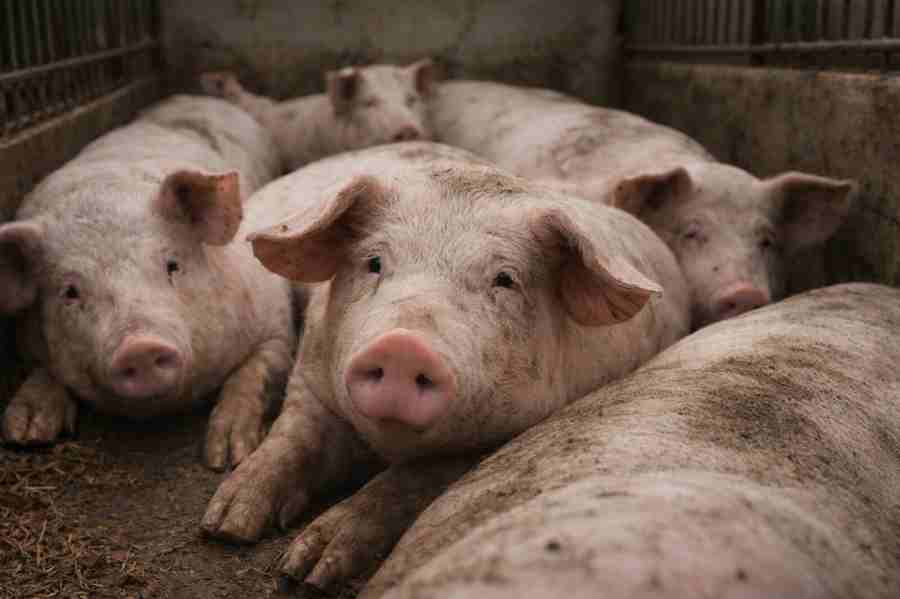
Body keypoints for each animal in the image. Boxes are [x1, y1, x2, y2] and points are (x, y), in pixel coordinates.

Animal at [0, 95, 295, 471]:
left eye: (172, 265)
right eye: (70, 291)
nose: (140, 347)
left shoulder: (275, 317)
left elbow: (256, 370)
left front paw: (227, 456)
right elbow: (42, 369)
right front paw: (24, 433)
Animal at [199, 141, 692, 589]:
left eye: (504, 280)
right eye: (374, 262)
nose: (402, 346)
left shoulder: (498, 438)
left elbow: (404, 483)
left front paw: (310, 572)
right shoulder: (311, 378)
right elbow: (292, 439)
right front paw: (227, 524)